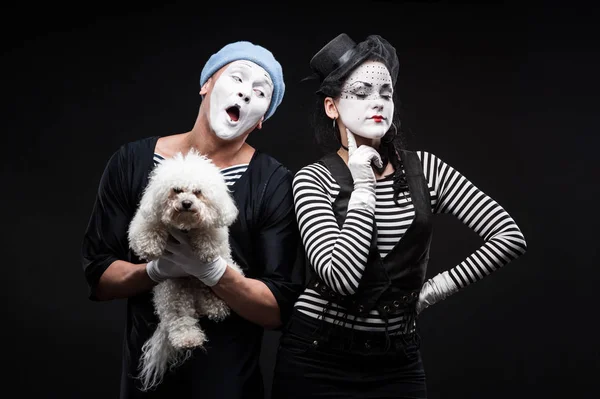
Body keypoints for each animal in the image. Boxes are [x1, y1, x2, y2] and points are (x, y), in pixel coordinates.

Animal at [127, 149, 243, 390]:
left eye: (198, 192)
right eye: (176, 190)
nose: (187, 203)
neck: (185, 226)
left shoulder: (214, 227)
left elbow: (210, 233)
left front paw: (205, 249)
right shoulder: (146, 218)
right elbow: (148, 228)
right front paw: (150, 246)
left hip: (226, 272)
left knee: (215, 285)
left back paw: (215, 305)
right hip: (173, 292)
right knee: (179, 318)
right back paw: (188, 337)